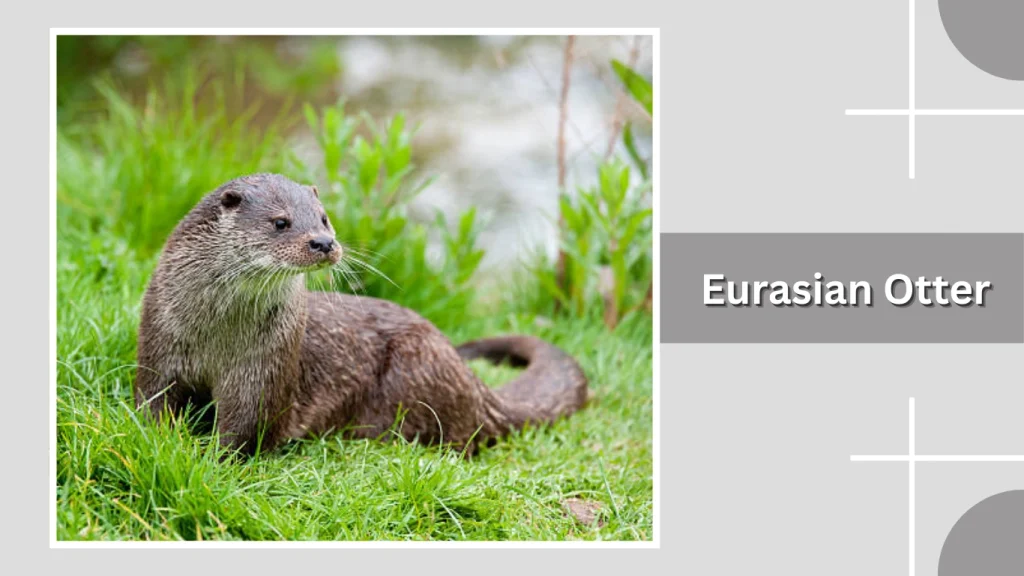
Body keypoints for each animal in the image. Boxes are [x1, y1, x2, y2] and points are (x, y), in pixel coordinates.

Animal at [134, 173, 588, 456]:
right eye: (280, 222)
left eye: (324, 218)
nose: (323, 242)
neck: (217, 335)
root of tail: (474, 385)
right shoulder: (160, 344)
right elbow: (153, 401)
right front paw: (158, 440)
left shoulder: (263, 370)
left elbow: (246, 429)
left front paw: (212, 458)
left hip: (417, 366)